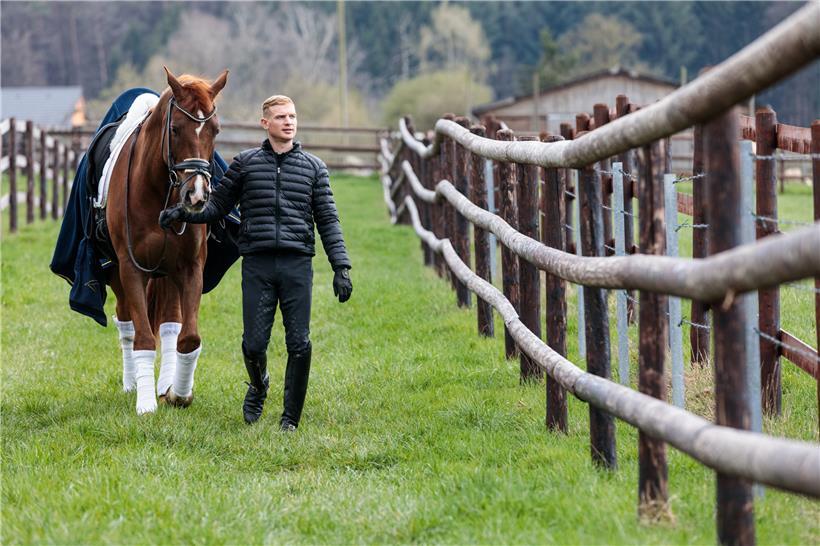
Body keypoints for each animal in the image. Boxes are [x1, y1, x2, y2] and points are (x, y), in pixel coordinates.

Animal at [106, 67, 228, 415]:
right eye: (174, 129)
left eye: (215, 130)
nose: (197, 195)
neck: (157, 190)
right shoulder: (131, 269)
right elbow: (143, 338)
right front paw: (146, 404)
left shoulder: (190, 268)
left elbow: (189, 337)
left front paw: (178, 393)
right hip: (118, 275)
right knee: (126, 323)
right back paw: (133, 383)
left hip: (169, 275)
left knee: (171, 326)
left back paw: (165, 383)